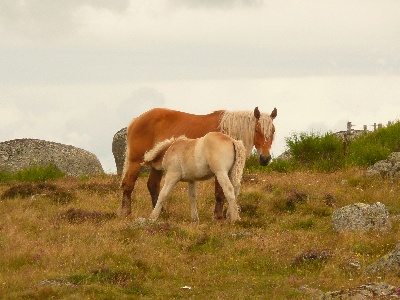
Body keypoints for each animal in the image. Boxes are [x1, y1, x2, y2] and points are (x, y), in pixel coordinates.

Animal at [120, 106, 276, 218]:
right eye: (257, 130)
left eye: (273, 131)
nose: (265, 158)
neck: (228, 132)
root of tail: (136, 120)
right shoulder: (220, 171)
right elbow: (220, 192)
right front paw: (218, 216)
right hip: (135, 162)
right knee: (129, 184)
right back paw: (125, 212)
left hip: (156, 167)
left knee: (153, 186)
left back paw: (161, 213)